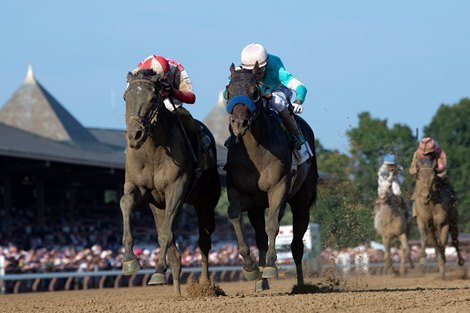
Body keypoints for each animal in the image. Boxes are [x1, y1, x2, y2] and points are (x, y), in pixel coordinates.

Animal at [117, 69, 220, 294]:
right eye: (125, 97)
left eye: (153, 98)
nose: (134, 135)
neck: (153, 149)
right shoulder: (139, 188)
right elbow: (125, 203)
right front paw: (129, 260)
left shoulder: (176, 188)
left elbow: (165, 234)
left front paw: (157, 272)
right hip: (158, 205)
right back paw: (177, 291)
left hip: (206, 202)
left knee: (204, 241)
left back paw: (205, 285)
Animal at [224, 63, 320, 290]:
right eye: (228, 91)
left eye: (255, 92)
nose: (239, 124)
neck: (255, 152)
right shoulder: (238, 191)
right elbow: (234, 216)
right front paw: (250, 268)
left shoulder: (279, 187)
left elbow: (272, 225)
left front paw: (269, 266)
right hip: (257, 206)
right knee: (260, 237)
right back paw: (261, 282)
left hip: (301, 200)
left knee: (296, 244)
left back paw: (300, 285)